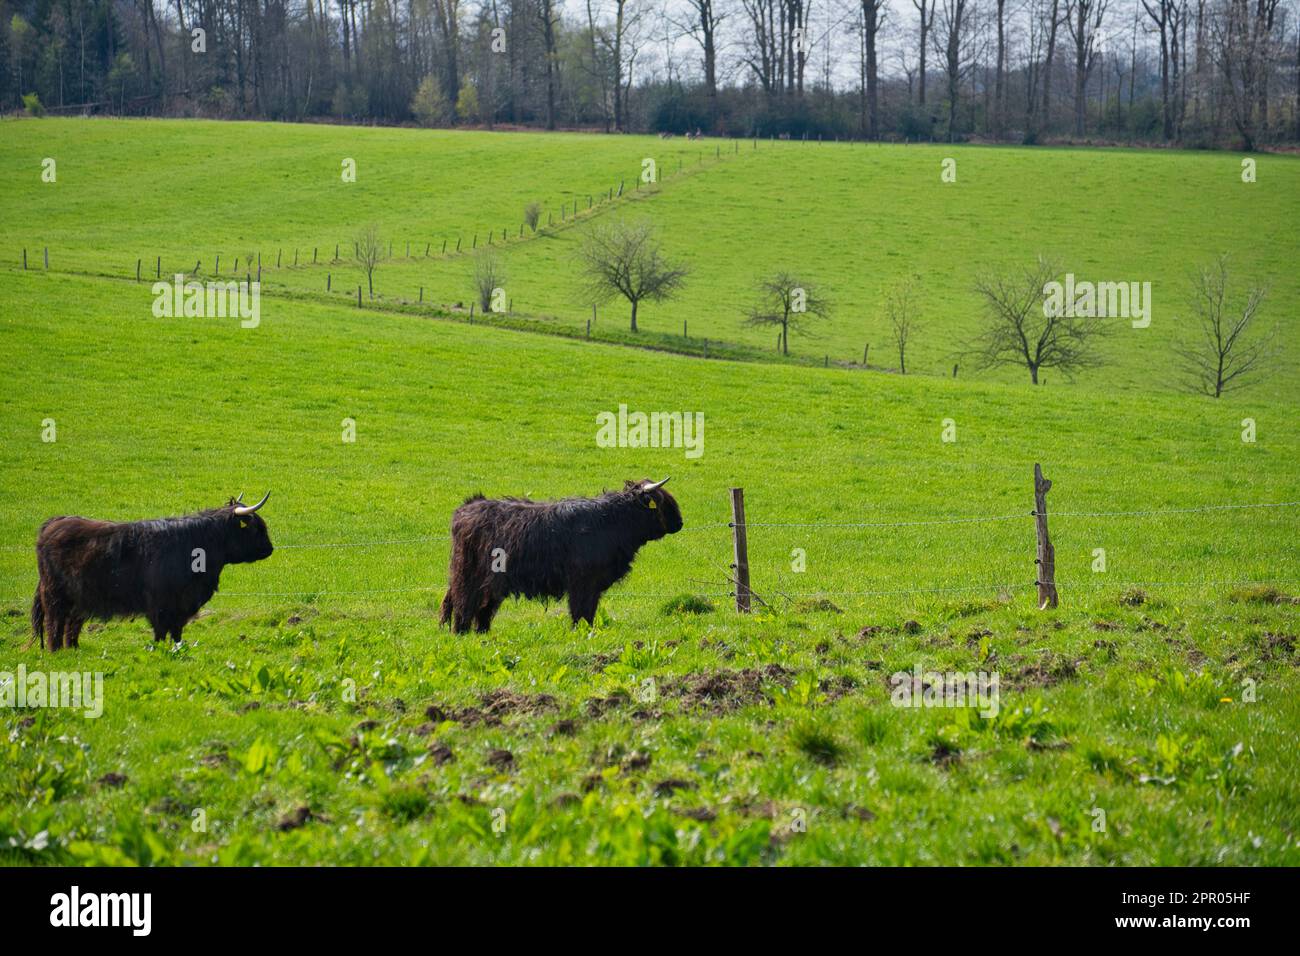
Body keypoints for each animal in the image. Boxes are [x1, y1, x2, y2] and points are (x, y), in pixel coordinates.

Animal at [31, 492, 274, 651]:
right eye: (257, 528)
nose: (270, 549)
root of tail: (55, 522)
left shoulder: (181, 605)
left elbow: (176, 632)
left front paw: (177, 648)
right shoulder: (160, 603)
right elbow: (160, 631)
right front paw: (159, 650)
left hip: (79, 597)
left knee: (71, 624)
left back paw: (73, 649)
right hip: (55, 595)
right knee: (54, 622)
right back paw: (56, 651)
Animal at [439, 478, 682, 633]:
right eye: (662, 501)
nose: (680, 523)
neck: (612, 521)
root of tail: (469, 505)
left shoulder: (593, 585)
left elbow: (589, 612)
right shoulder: (581, 582)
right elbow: (580, 611)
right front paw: (579, 633)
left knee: (473, 606)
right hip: (468, 575)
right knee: (462, 603)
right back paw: (460, 633)